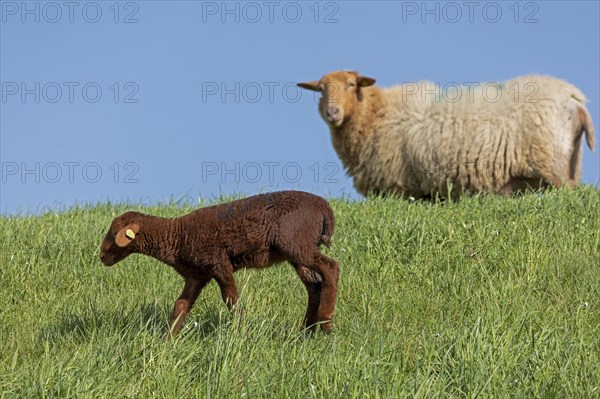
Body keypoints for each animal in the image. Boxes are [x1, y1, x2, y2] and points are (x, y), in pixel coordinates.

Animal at [101, 191, 340, 338]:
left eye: (114, 234)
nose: (101, 257)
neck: (177, 235)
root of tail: (325, 210)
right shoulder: (196, 275)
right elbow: (180, 306)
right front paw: (167, 340)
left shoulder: (219, 263)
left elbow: (231, 299)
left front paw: (243, 332)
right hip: (298, 251)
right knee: (314, 286)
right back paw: (307, 331)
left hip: (296, 244)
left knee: (331, 268)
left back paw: (326, 322)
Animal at [298, 71, 592, 199]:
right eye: (321, 89)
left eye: (351, 84)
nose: (332, 112)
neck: (375, 113)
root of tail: (574, 97)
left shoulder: (398, 188)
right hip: (571, 161)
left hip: (551, 161)